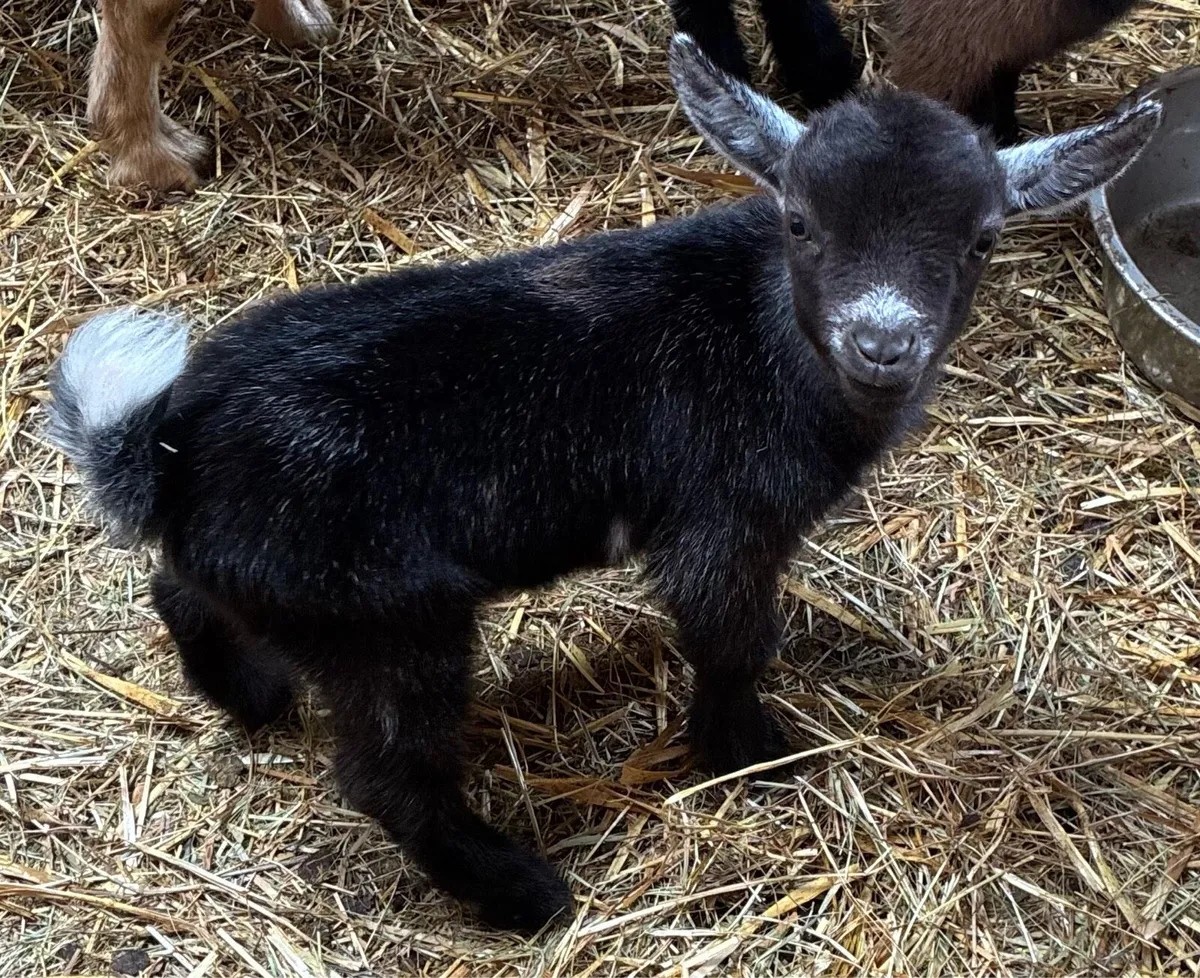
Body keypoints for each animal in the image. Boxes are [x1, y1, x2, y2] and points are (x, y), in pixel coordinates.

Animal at [48, 34, 1160, 930]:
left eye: (981, 238)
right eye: (800, 222)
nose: (883, 342)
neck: (771, 342)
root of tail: (166, 450)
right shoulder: (723, 526)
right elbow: (733, 641)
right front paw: (753, 754)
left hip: (289, 591)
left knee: (177, 589)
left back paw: (254, 694)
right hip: (387, 623)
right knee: (386, 775)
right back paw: (520, 891)